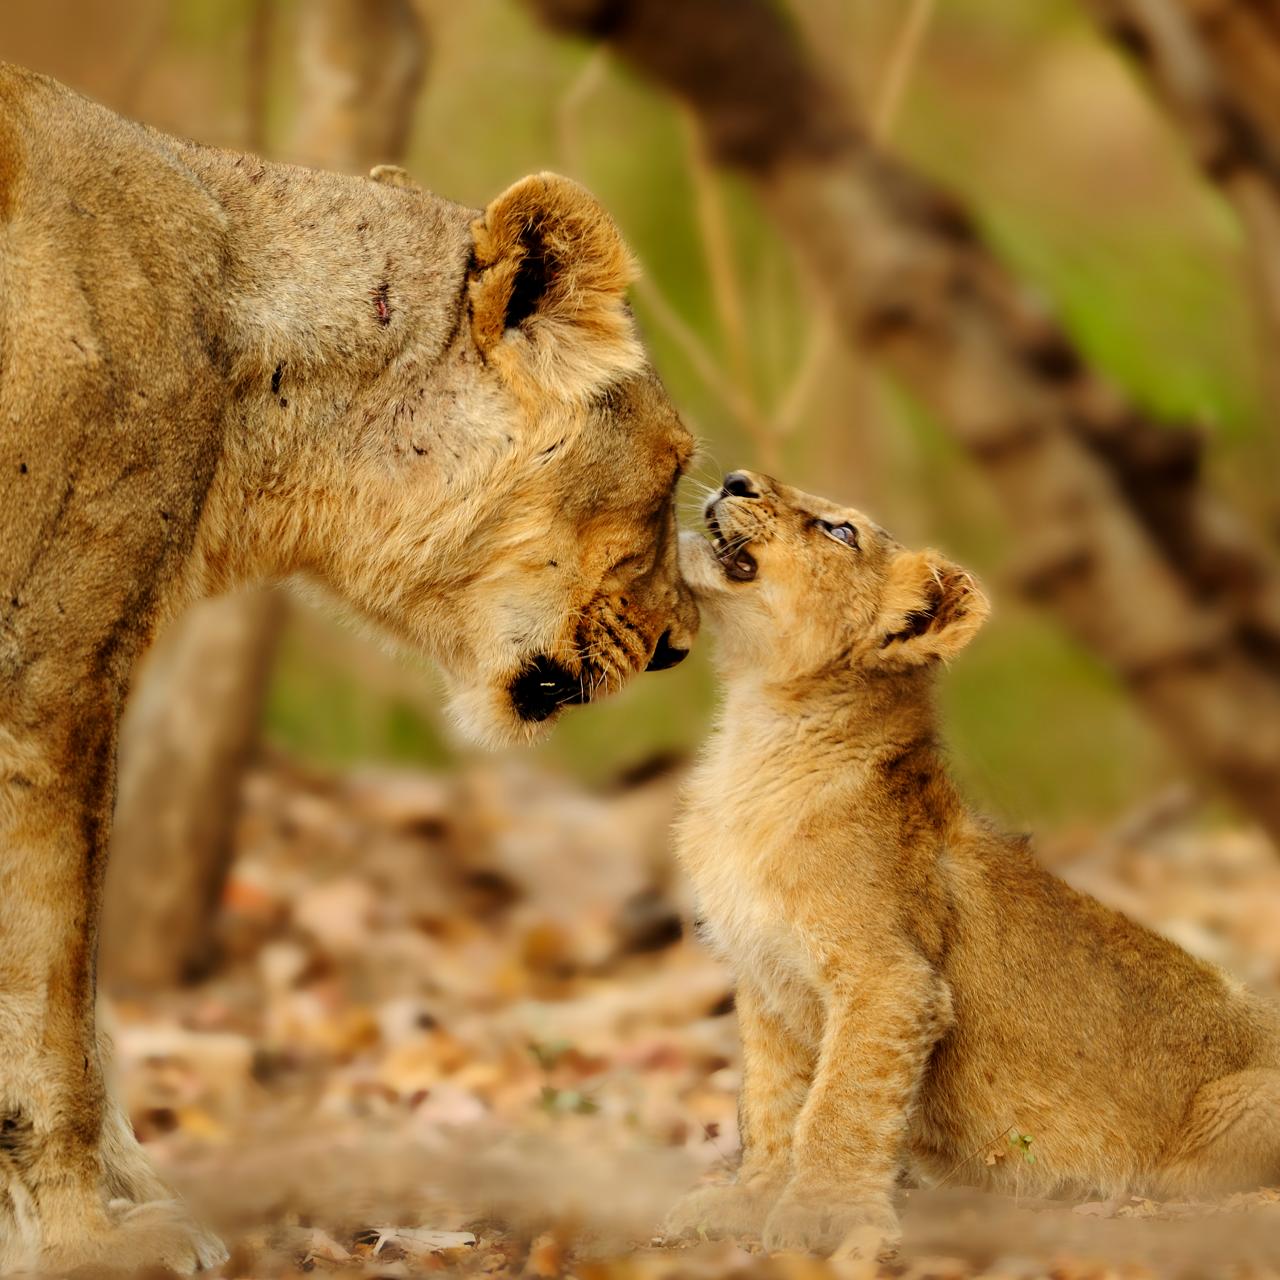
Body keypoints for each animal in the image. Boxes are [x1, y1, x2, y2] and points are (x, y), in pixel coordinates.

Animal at [0, 63, 698, 1272]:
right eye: (671, 469)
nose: (679, 643)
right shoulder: (54, 673)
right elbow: (50, 997)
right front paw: (89, 1241)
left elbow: (79, 1006)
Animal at [667, 470, 1280, 1257]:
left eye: (839, 531)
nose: (736, 478)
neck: (758, 735)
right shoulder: (765, 980)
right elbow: (772, 1105)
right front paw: (747, 1202)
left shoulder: (892, 980)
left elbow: (841, 1106)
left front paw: (821, 1216)